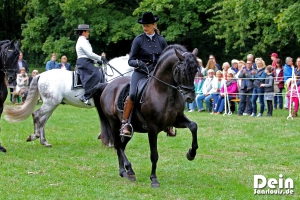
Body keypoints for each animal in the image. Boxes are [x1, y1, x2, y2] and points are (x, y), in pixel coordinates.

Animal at [94, 45, 198, 188]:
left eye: (196, 70)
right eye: (182, 71)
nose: (190, 97)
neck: (162, 91)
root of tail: (108, 85)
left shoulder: (176, 120)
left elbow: (193, 126)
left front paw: (191, 154)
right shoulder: (152, 128)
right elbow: (154, 154)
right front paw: (154, 179)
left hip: (130, 131)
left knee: (121, 146)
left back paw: (124, 172)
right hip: (114, 124)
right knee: (118, 145)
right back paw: (129, 170)